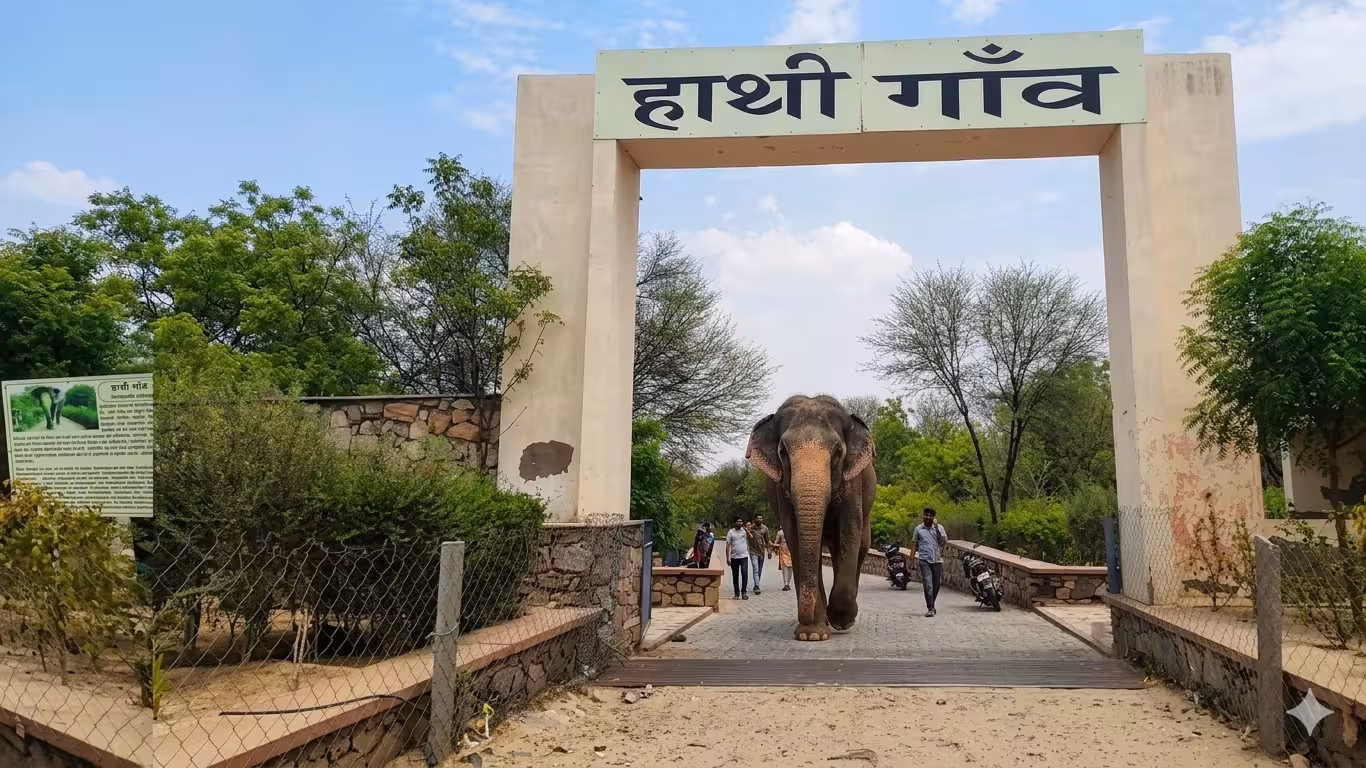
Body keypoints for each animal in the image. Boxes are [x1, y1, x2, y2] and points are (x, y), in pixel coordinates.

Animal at [745, 395, 876, 641]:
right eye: (783, 452)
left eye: (837, 452)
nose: (804, 617)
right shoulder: (782, 490)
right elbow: (793, 535)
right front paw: (812, 635)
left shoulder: (852, 484)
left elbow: (850, 530)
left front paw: (839, 620)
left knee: (860, 546)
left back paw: (842, 621)